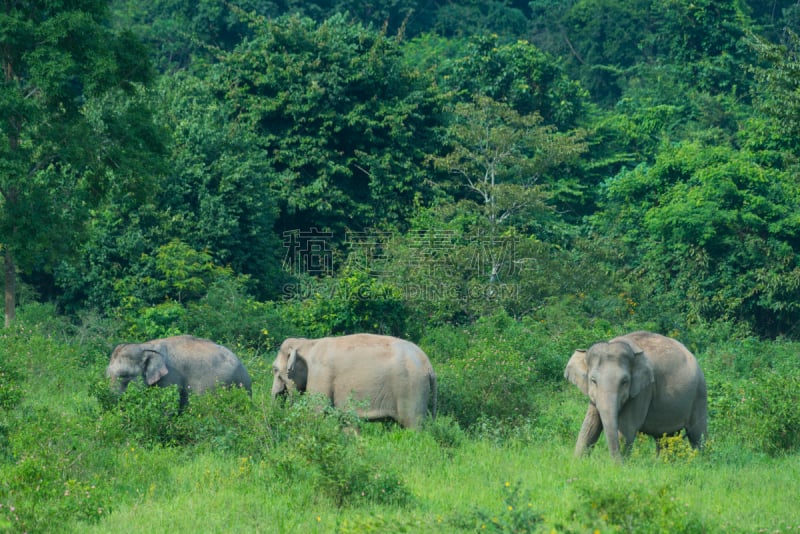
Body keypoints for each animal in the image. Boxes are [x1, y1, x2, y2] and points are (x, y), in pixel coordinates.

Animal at [274, 336, 438, 432]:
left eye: (274, 369)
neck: (308, 343)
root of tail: (429, 365)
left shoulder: (320, 375)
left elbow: (317, 411)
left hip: (412, 389)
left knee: (413, 425)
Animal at [564, 330, 708, 460]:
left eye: (624, 382)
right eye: (593, 380)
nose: (616, 463)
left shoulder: (643, 391)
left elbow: (626, 428)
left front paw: (620, 467)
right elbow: (589, 426)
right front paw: (577, 462)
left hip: (699, 393)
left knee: (697, 434)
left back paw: (701, 461)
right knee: (665, 437)